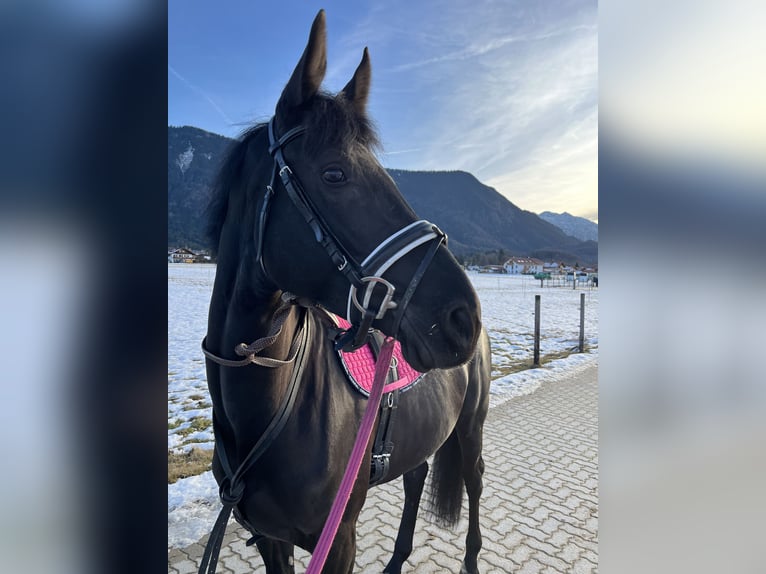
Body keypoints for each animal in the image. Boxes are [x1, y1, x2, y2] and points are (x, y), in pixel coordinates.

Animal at [201, 10, 491, 574]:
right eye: (335, 173)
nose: (462, 316)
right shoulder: (270, 539)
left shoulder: (338, 542)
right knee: (417, 476)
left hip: (469, 431)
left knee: (474, 482)